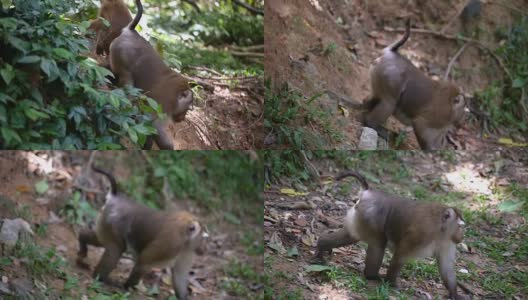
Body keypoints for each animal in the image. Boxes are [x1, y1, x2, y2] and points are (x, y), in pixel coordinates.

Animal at [77, 166, 207, 300]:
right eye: (202, 237)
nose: (203, 247)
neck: (185, 237)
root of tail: (115, 198)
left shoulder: (186, 250)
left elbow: (179, 275)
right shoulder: (171, 243)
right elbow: (144, 262)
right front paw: (128, 286)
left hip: (105, 220)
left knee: (101, 240)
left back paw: (82, 240)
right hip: (112, 221)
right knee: (116, 249)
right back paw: (100, 277)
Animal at [108, 0, 193, 150]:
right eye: (187, 106)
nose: (183, 117)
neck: (178, 94)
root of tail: (130, 32)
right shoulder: (167, 100)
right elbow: (155, 123)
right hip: (120, 55)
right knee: (128, 82)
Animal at [314, 171, 470, 300]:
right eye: (460, 226)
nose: (461, 236)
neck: (440, 229)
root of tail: (368, 193)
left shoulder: (447, 241)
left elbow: (446, 267)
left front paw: (455, 294)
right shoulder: (421, 234)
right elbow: (400, 255)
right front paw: (392, 283)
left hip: (359, 216)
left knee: (350, 236)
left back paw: (322, 245)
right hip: (370, 216)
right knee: (378, 243)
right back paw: (372, 275)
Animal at [364, 19, 466, 149]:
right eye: (462, 107)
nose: (462, 121)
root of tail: (390, 54)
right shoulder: (433, 118)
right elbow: (420, 125)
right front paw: (429, 150)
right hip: (389, 78)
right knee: (389, 102)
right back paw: (372, 124)